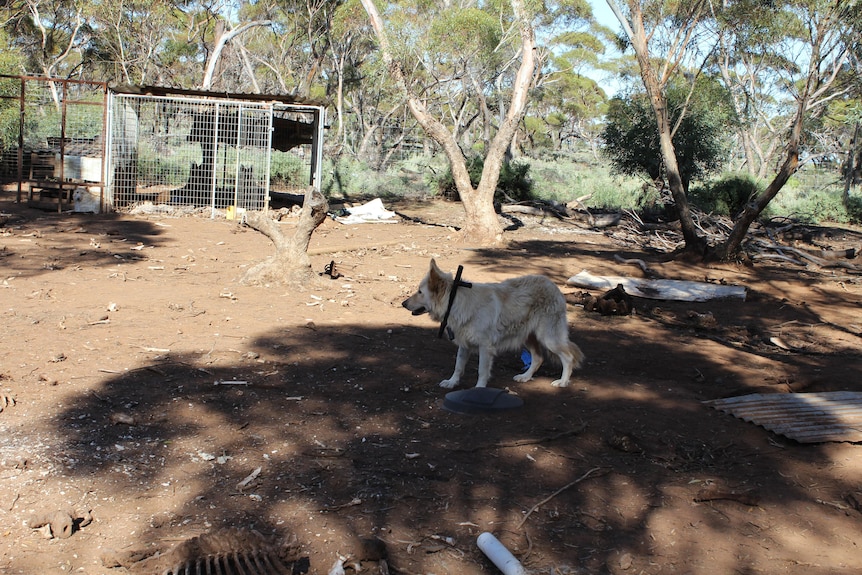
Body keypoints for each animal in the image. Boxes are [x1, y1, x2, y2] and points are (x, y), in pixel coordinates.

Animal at [404, 260, 588, 388]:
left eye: (419, 292)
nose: (403, 303)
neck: (456, 302)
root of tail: (553, 286)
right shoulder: (464, 345)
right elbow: (458, 366)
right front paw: (451, 382)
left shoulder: (485, 347)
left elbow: (482, 371)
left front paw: (478, 389)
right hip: (527, 338)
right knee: (538, 358)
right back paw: (525, 377)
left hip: (549, 339)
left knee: (568, 357)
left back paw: (562, 382)